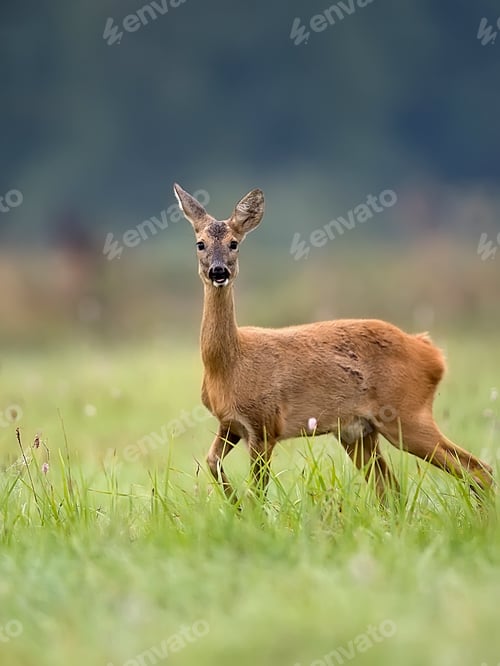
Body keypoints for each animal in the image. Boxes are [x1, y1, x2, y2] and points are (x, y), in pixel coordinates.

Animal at [173, 183, 493, 504]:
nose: (218, 271)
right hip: (359, 433)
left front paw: (245, 510)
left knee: (478, 469)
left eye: (234, 243)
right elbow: (212, 461)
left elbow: (258, 492)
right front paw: (233, 503)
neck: (229, 365)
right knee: (391, 490)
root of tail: (431, 352)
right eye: (200, 244)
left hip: (407, 415)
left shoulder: (265, 425)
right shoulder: (230, 424)